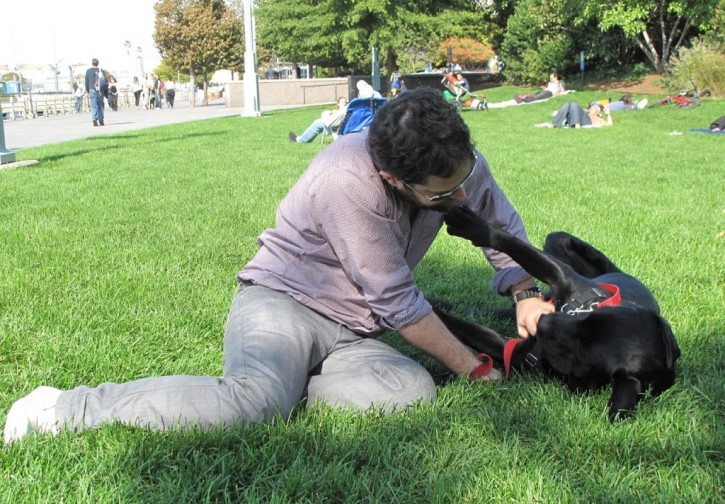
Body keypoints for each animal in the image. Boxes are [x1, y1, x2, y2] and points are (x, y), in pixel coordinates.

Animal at [435, 205, 680, 421]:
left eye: (584, 347)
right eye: (592, 316)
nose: (542, 321)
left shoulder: (514, 351)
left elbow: (461, 327)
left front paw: (432, 308)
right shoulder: (562, 275)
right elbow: (511, 243)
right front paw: (476, 227)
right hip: (558, 241)